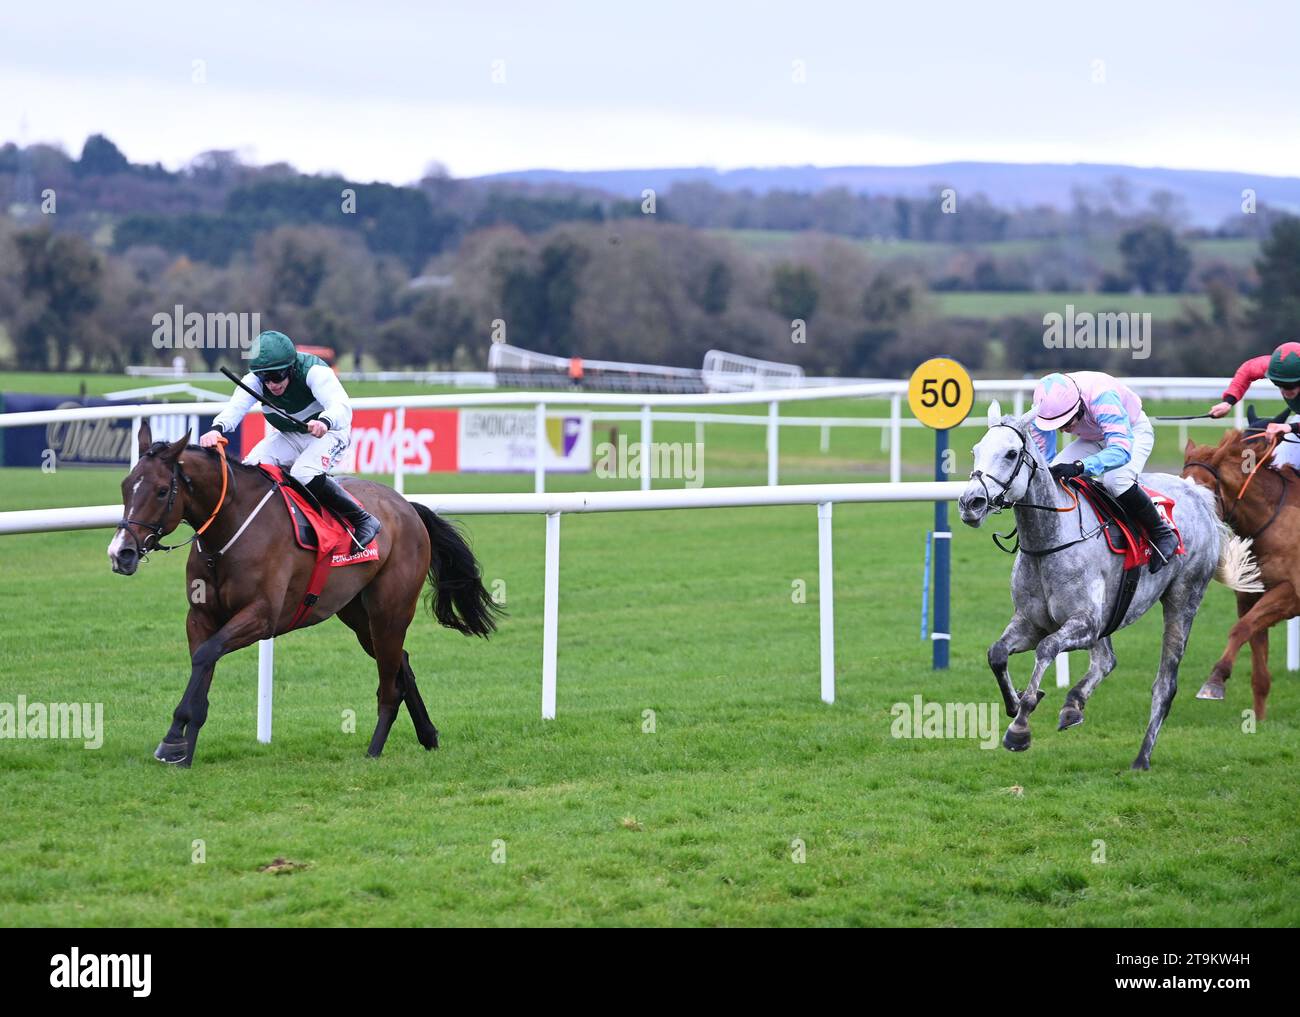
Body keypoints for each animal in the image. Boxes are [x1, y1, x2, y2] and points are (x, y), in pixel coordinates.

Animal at [107, 418, 496, 769]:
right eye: (126, 486)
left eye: (161, 490)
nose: (121, 553)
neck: (229, 530)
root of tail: (406, 506)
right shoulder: (200, 616)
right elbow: (203, 663)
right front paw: (183, 751)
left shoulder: (262, 616)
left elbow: (206, 655)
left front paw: (173, 740)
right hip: (359, 616)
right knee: (402, 662)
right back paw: (428, 735)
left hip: (390, 610)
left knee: (389, 684)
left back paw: (374, 750)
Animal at [956, 403, 1258, 769]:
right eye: (976, 451)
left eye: (1011, 453)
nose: (970, 503)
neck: (1049, 540)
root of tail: (1198, 494)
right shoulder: (1032, 622)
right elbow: (996, 653)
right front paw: (1019, 702)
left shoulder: (1084, 623)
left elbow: (1046, 649)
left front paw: (1020, 727)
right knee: (1106, 661)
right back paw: (1073, 704)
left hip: (1184, 599)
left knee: (1165, 684)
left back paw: (1142, 757)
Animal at [1185, 434, 1294, 723]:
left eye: (1206, 488)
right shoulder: (1249, 597)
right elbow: (1255, 654)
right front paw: (1259, 720)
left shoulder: (1291, 594)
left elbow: (1241, 628)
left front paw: (1214, 681)